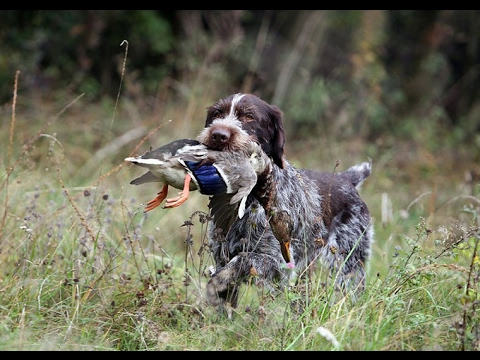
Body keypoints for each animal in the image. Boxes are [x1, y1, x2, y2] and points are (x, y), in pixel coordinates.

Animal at [196, 93, 376, 306]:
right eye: (217, 113)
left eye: (249, 117)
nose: (218, 134)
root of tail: (347, 179)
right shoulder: (221, 254)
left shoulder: (278, 264)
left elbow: (242, 261)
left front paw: (216, 281)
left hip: (349, 264)